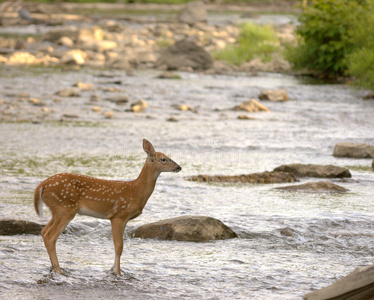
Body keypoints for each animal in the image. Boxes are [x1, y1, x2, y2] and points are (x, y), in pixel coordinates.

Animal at [33, 139, 181, 276]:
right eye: (163, 159)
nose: (179, 167)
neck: (135, 191)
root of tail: (42, 185)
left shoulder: (124, 219)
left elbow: (119, 246)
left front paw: (113, 270)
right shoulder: (118, 216)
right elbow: (119, 246)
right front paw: (118, 273)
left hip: (57, 210)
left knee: (44, 231)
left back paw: (54, 268)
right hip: (65, 208)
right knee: (51, 236)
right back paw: (59, 271)